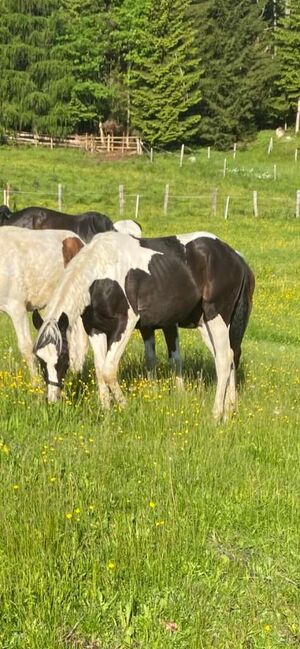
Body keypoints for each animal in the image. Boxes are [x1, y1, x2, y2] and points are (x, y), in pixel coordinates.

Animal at [32, 229, 254, 420]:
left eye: (63, 358)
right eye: (40, 361)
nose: (51, 400)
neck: (100, 274)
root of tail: (235, 256)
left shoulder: (125, 324)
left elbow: (108, 370)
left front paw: (124, 407)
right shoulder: (95, 329)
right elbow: (99, 369)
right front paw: (106, 411)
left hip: (217, 318)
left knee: (224, 361)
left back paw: (216, 415)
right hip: (206, 324)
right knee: (229, 357)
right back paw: (229, 410)